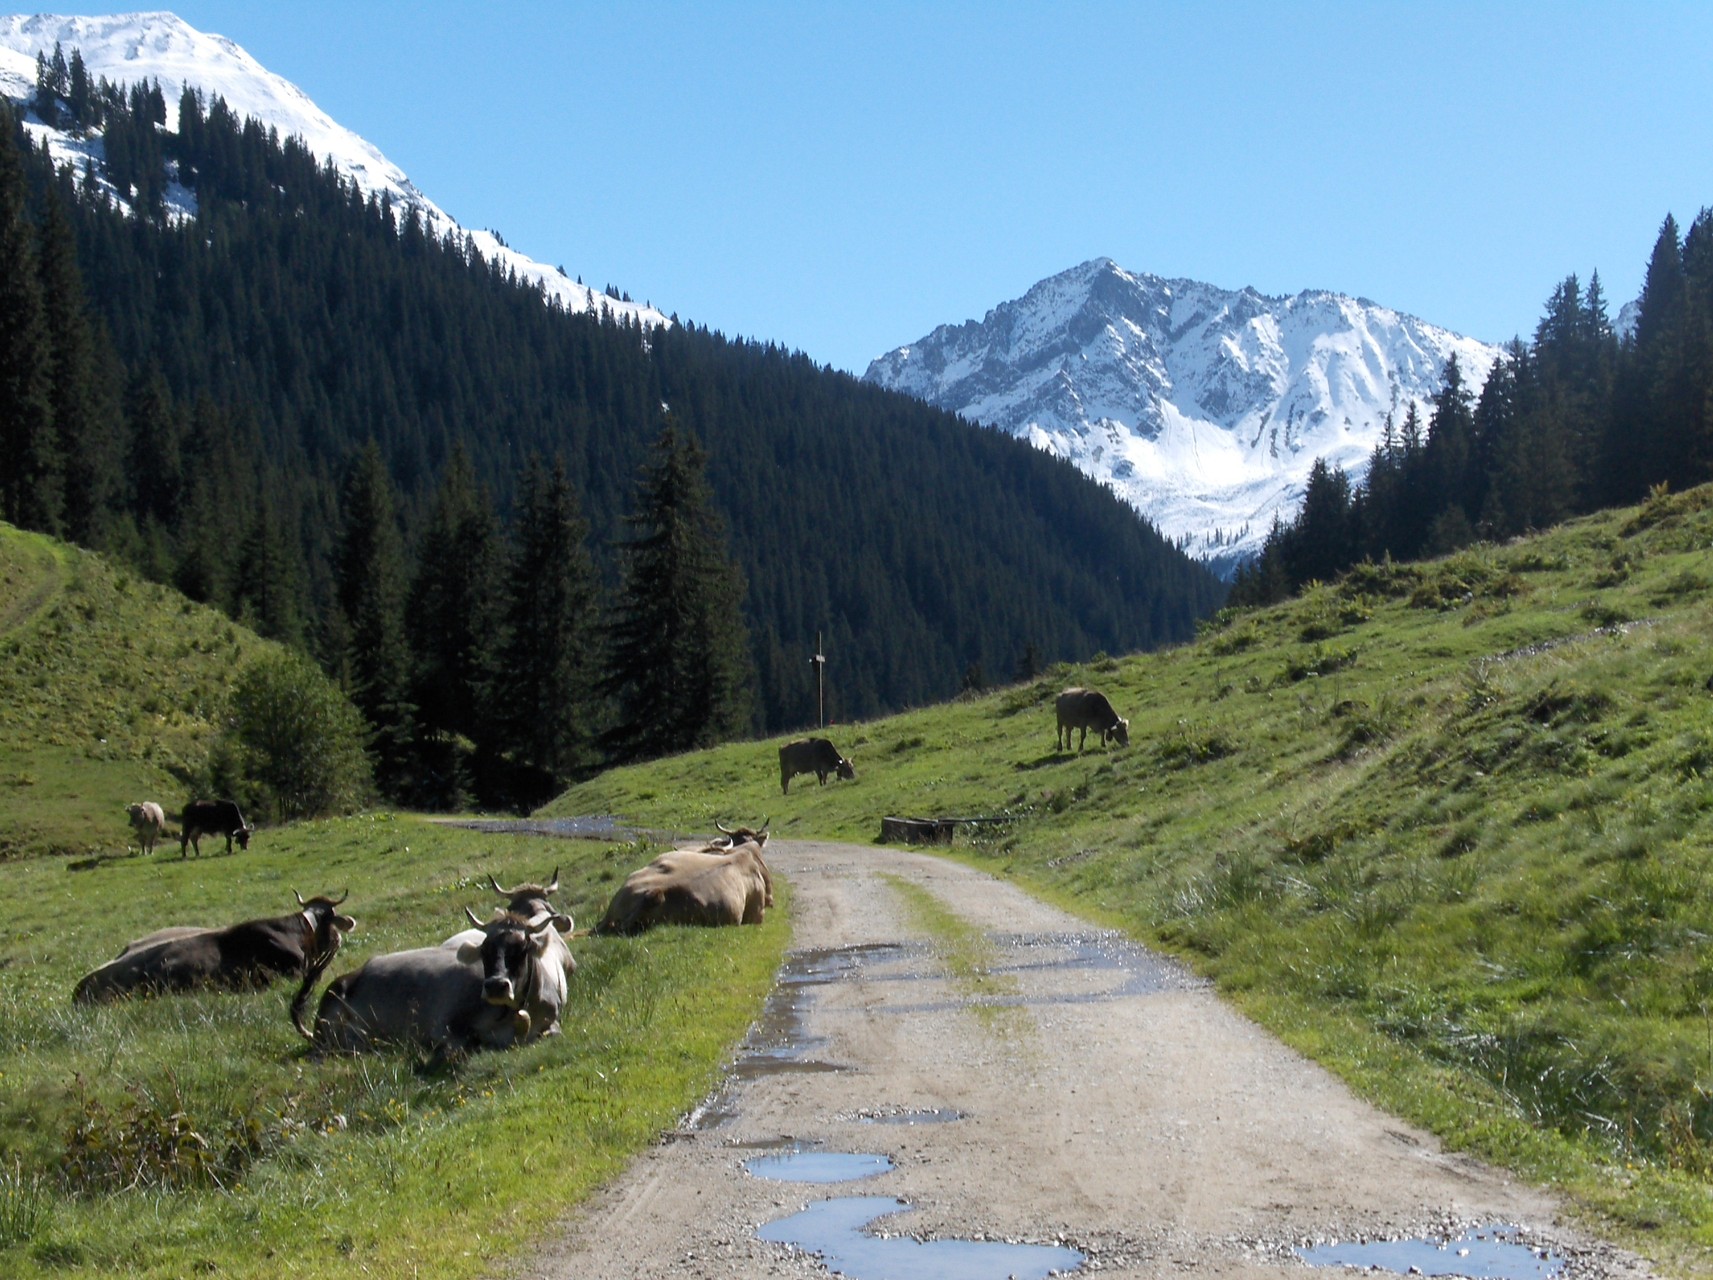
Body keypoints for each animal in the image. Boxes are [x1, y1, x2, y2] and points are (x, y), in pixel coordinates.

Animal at [308, 911, 568, 1062]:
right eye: (484, 950)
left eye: (521, 948)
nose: (495, 986)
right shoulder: (446, 1027)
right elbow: (460, 1046)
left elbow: (554, 1032)